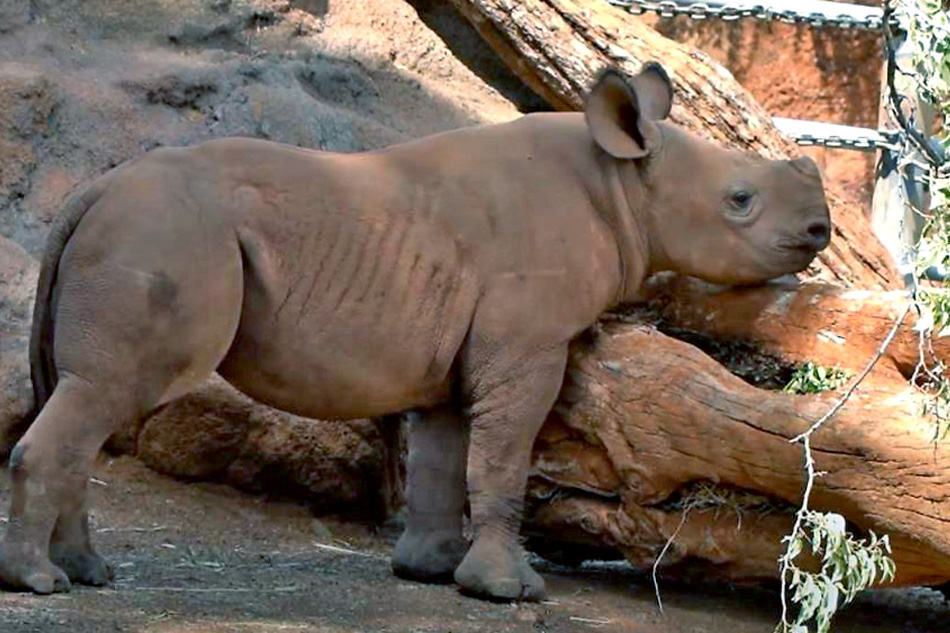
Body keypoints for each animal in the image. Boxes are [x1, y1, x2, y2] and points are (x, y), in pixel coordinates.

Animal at [0, 63, 828, 596]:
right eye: (740, 200)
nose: (820, 229)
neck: (624, 181)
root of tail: (91, 188)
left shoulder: (458, 350)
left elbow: (444, 453)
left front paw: (429, 569)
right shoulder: (527, 340)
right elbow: (504, 454)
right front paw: (510, 589)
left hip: (146, 231)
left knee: (93, 401)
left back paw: (86, 574)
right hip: (166, 235)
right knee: (105, 393)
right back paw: (41, 584)